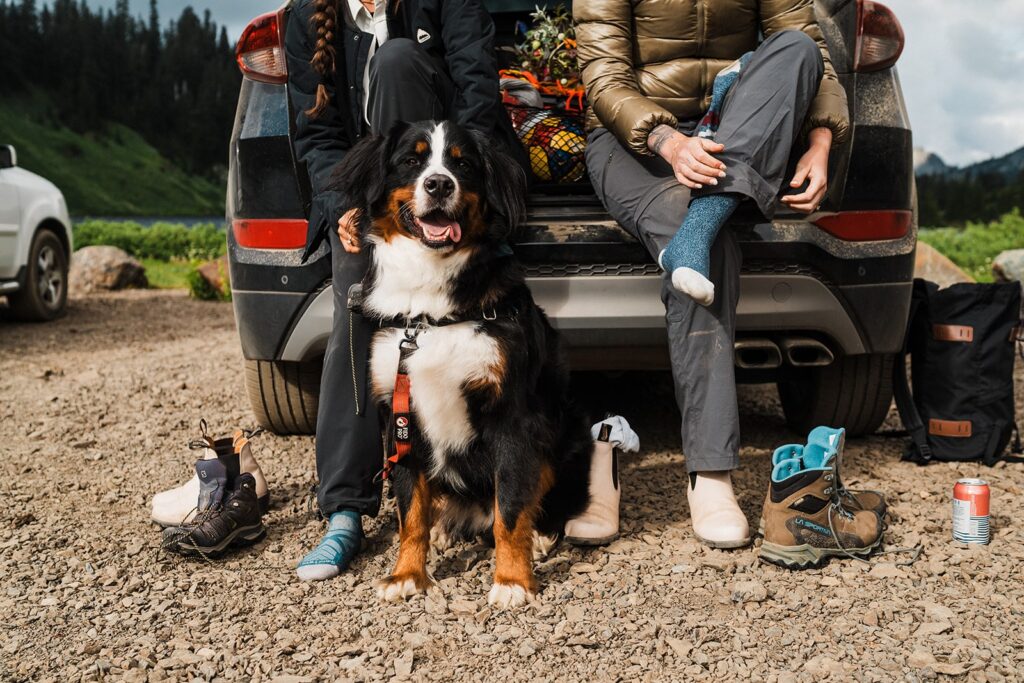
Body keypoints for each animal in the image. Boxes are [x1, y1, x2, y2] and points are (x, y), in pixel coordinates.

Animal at [333, 121, 593, 610]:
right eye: (411, 160)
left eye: (463, 164)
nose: (438, 184)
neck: (428, 311)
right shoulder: (400, 416)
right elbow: (409, 511)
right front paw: (407, 575)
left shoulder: (512, 416)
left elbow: (510, 509)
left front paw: (512, 580)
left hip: (566, 435)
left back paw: (540, 538)